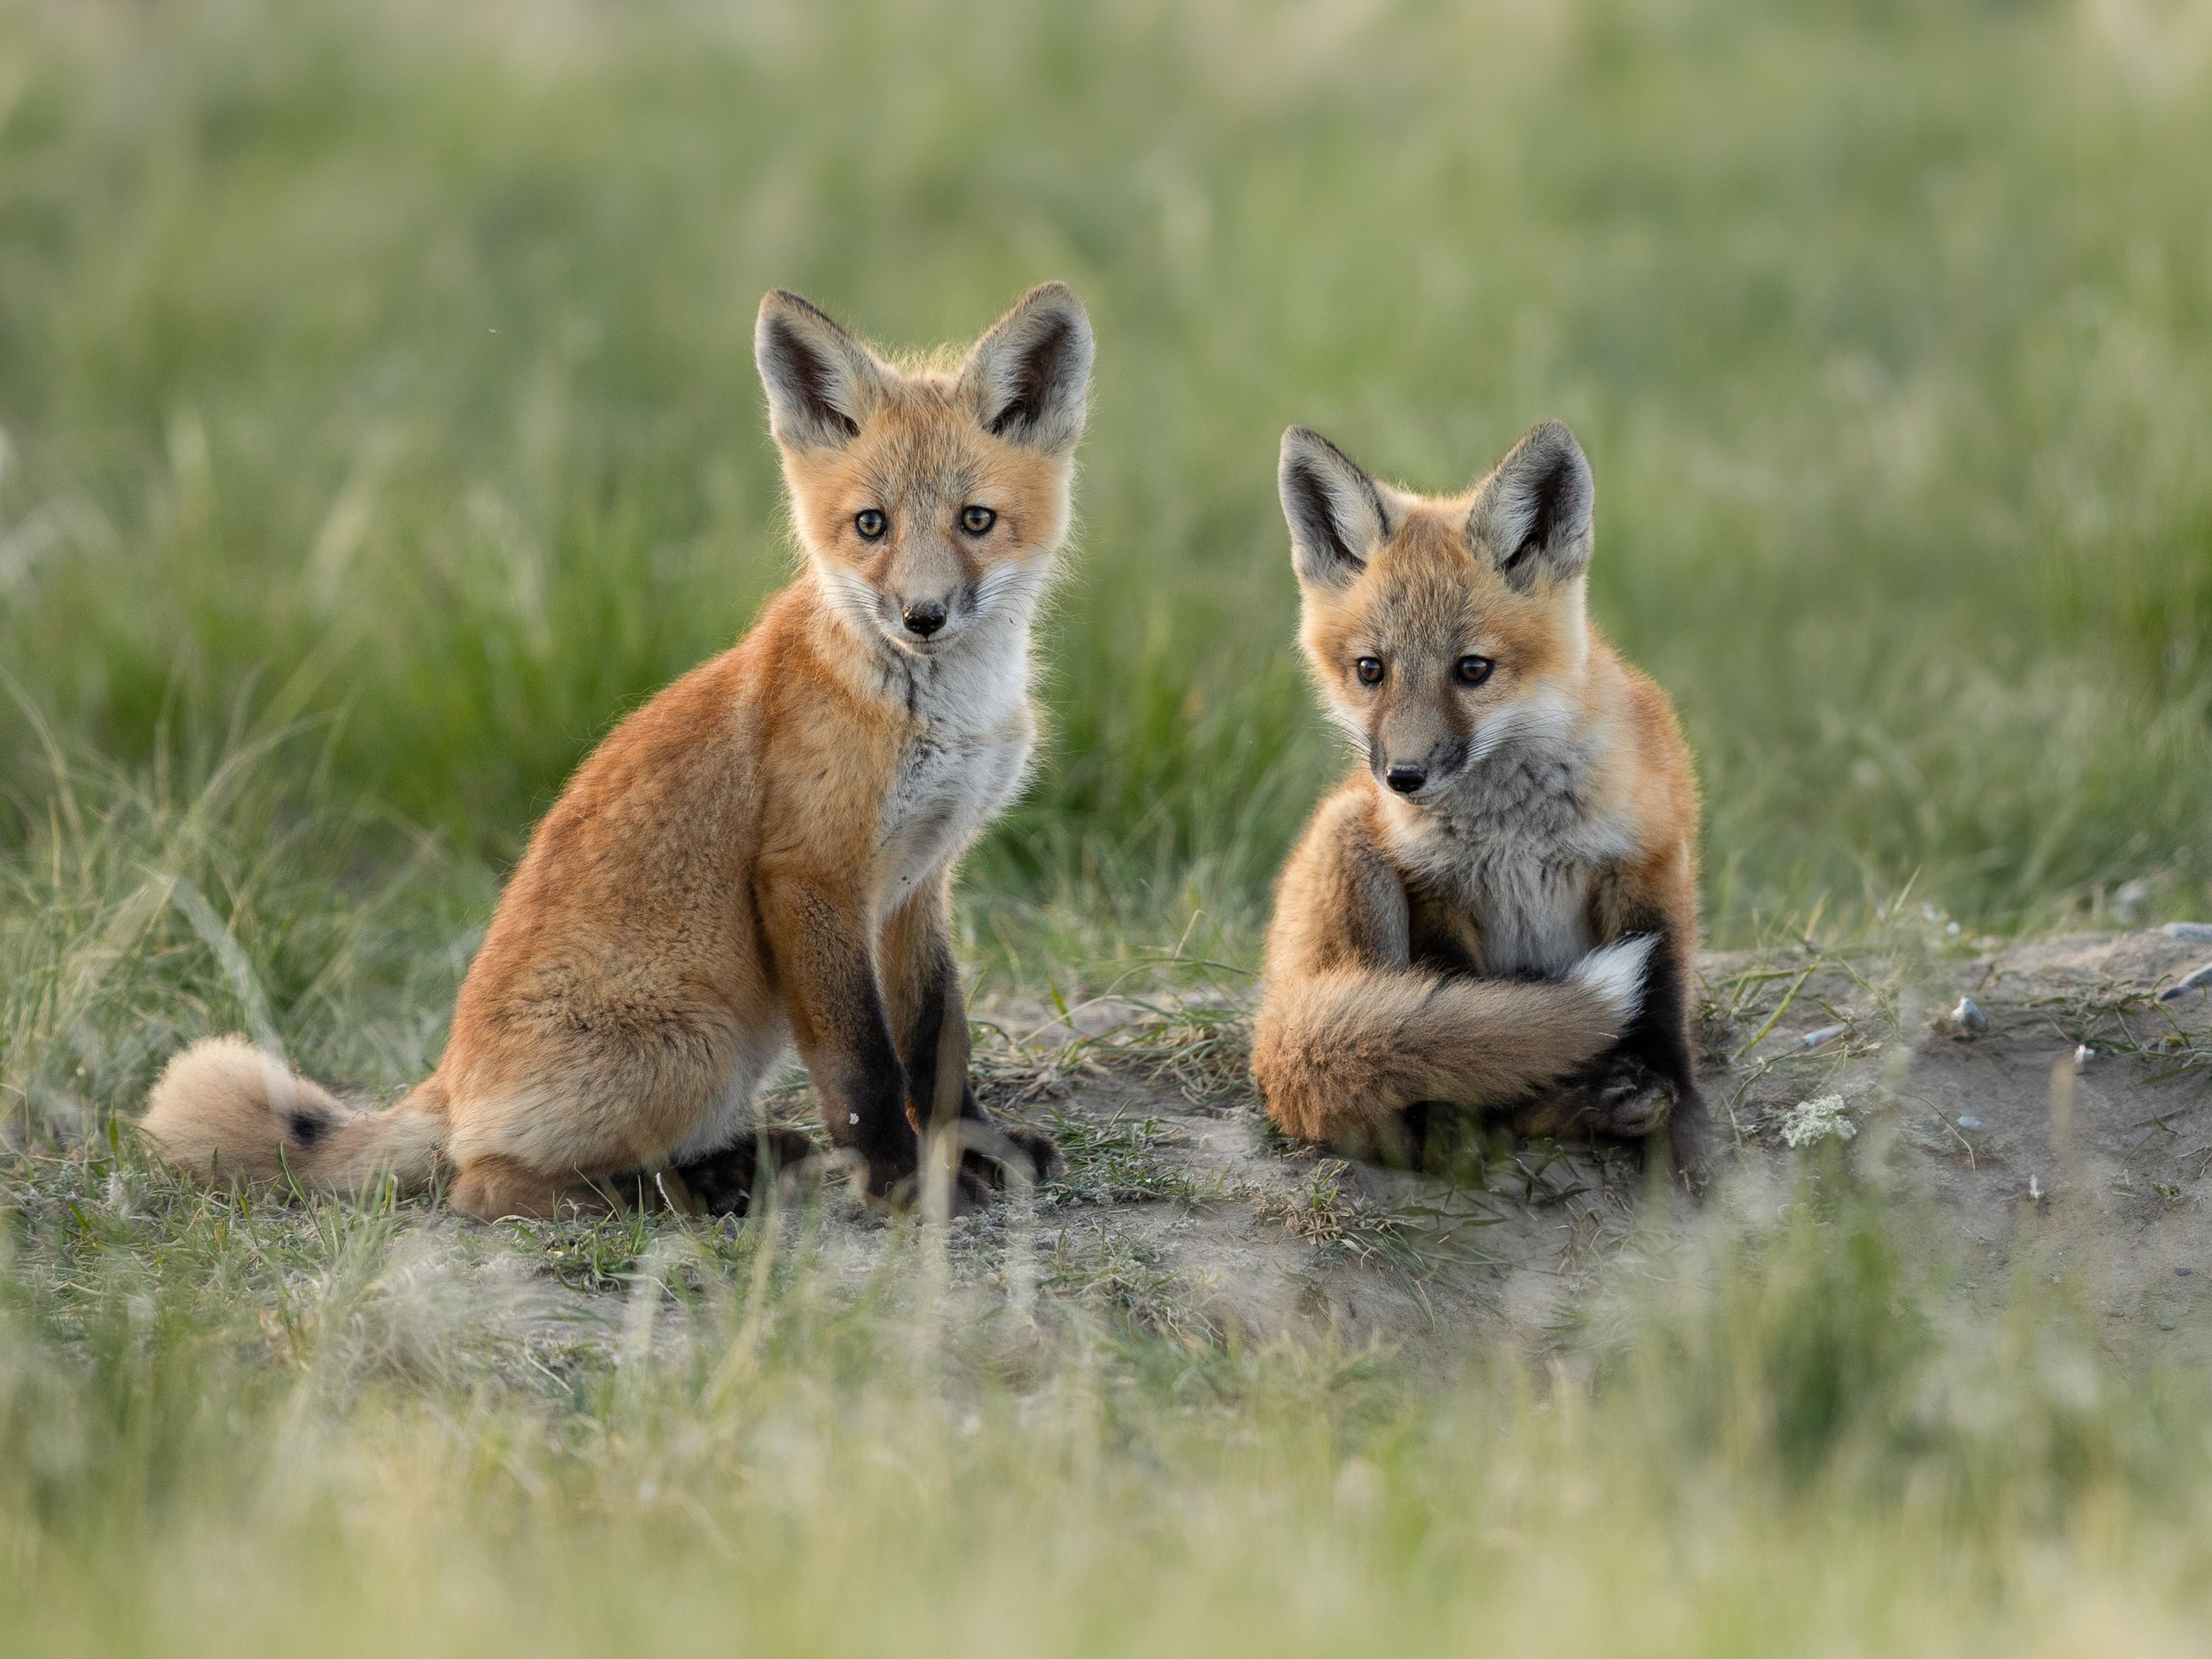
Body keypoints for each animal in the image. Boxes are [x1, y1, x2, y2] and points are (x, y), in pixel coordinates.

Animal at [144, 283, 1094, 1218]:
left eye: (976, 520)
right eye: (871, 525)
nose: (922, 616)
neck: (945, 714)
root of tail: (448, 1081)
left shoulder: (918, 880)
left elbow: (936, 1043)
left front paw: (976, 1149)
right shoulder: (811, 874)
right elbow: (863, 1065)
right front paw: (900, 1181)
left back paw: (741, 1164)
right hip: (699, 1047)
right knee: (487, 1186)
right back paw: (691, 1188)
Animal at [1250, 419, 1703, 1167]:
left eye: (1472, 669)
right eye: (1370, 669)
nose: (1404, 777)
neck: (1512, 828)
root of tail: (1267, 1031)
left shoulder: (1648, 863)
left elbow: (1663, 996)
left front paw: (1679, 1119)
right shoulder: (1435, 887)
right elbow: (1453, 1018)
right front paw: (1456, 1124)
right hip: (1351, 839)